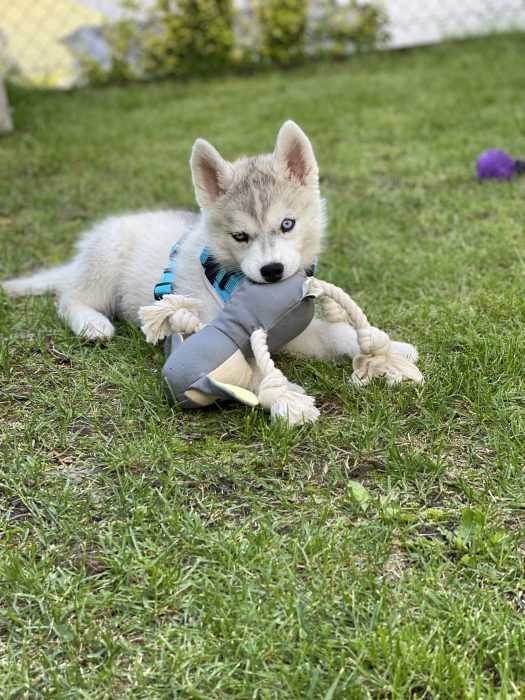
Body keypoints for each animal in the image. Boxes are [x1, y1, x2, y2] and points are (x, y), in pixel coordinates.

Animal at [1, 121, 418, 364]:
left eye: (287, 224)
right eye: (240, 236)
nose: (272, 271)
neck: (226, 274)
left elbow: (335, 331)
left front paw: (386, 346)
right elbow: (328, 334)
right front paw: (391, 349)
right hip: (105, 265)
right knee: (69, 298)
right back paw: (91, 323)